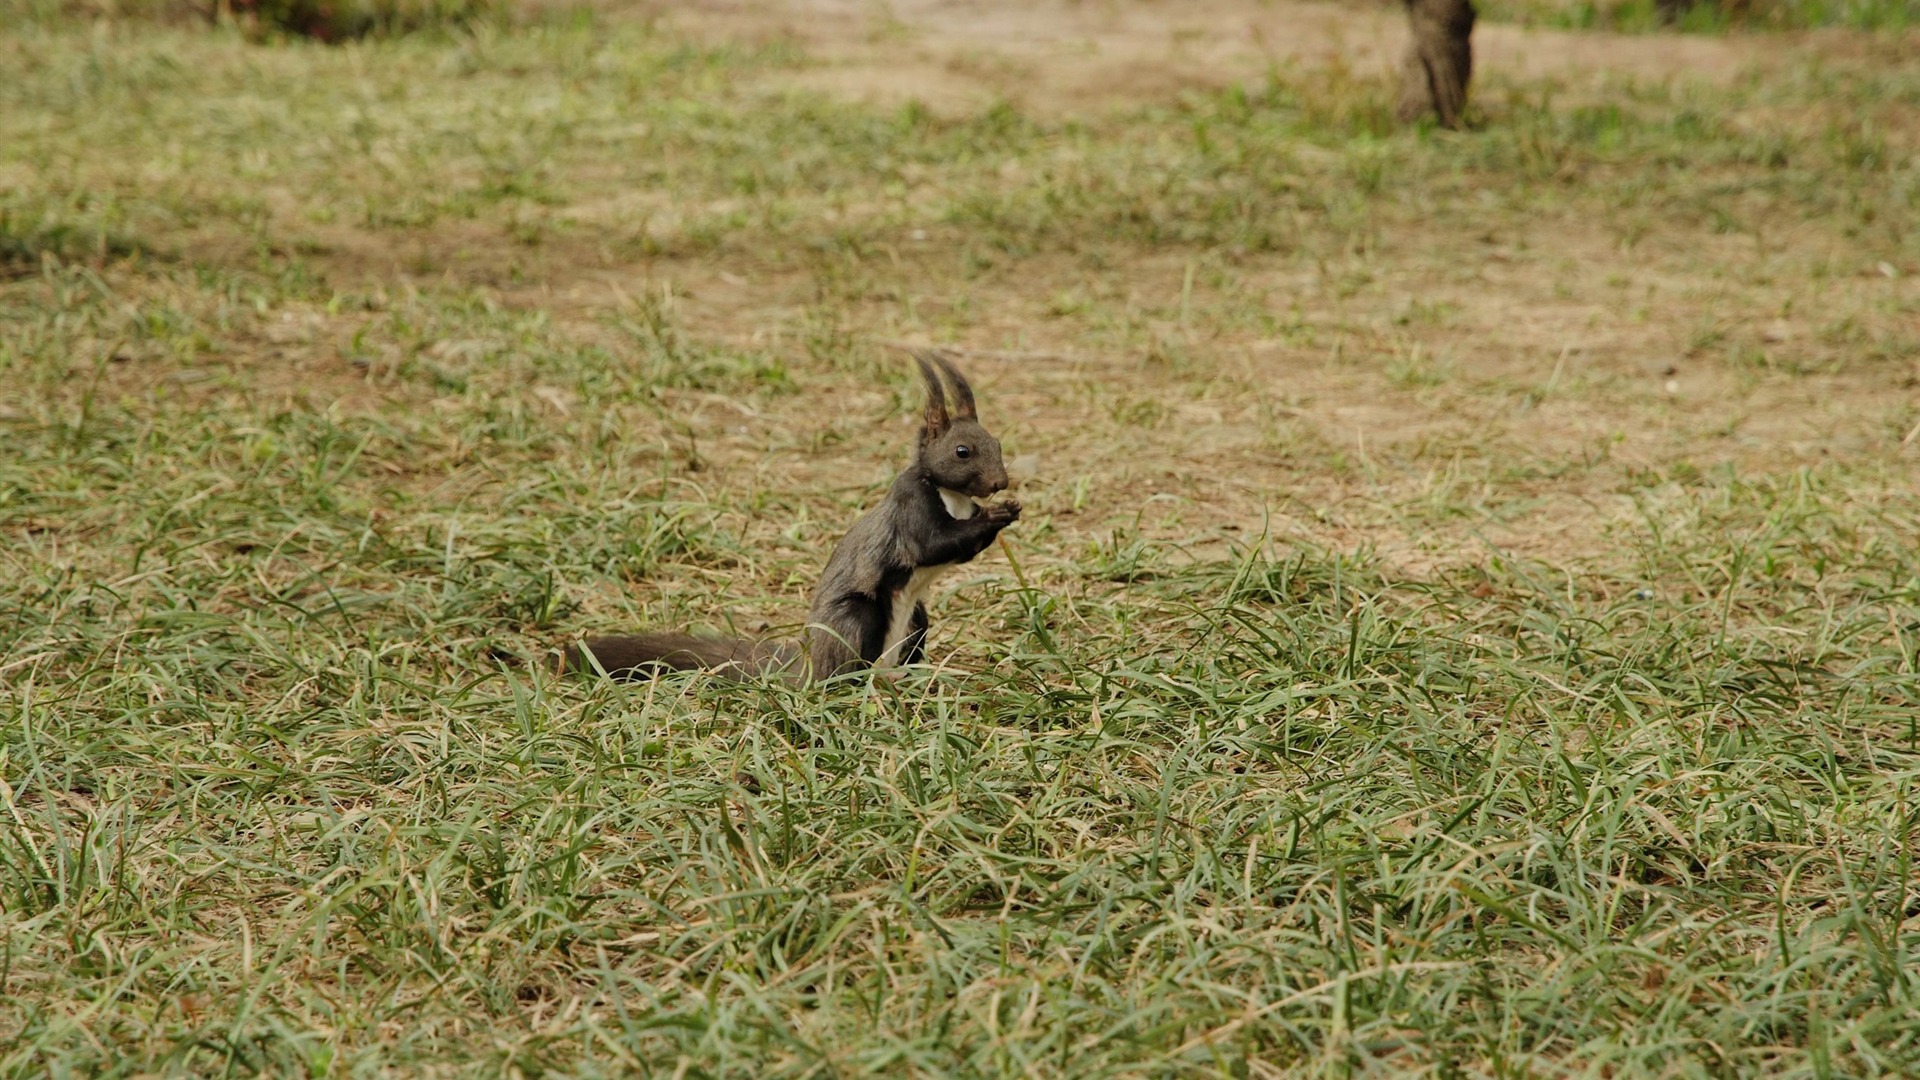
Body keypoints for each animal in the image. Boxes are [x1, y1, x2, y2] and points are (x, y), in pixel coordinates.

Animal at [568, 349, 1021, 676]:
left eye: (997, 442)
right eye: (962, 451)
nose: (1001, 482)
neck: (951, 495)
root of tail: (806, 665)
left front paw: (1008, 510)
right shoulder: (911, 508)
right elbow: (933, 545)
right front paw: (996, 515)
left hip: (917, 622)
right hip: (855, 619)